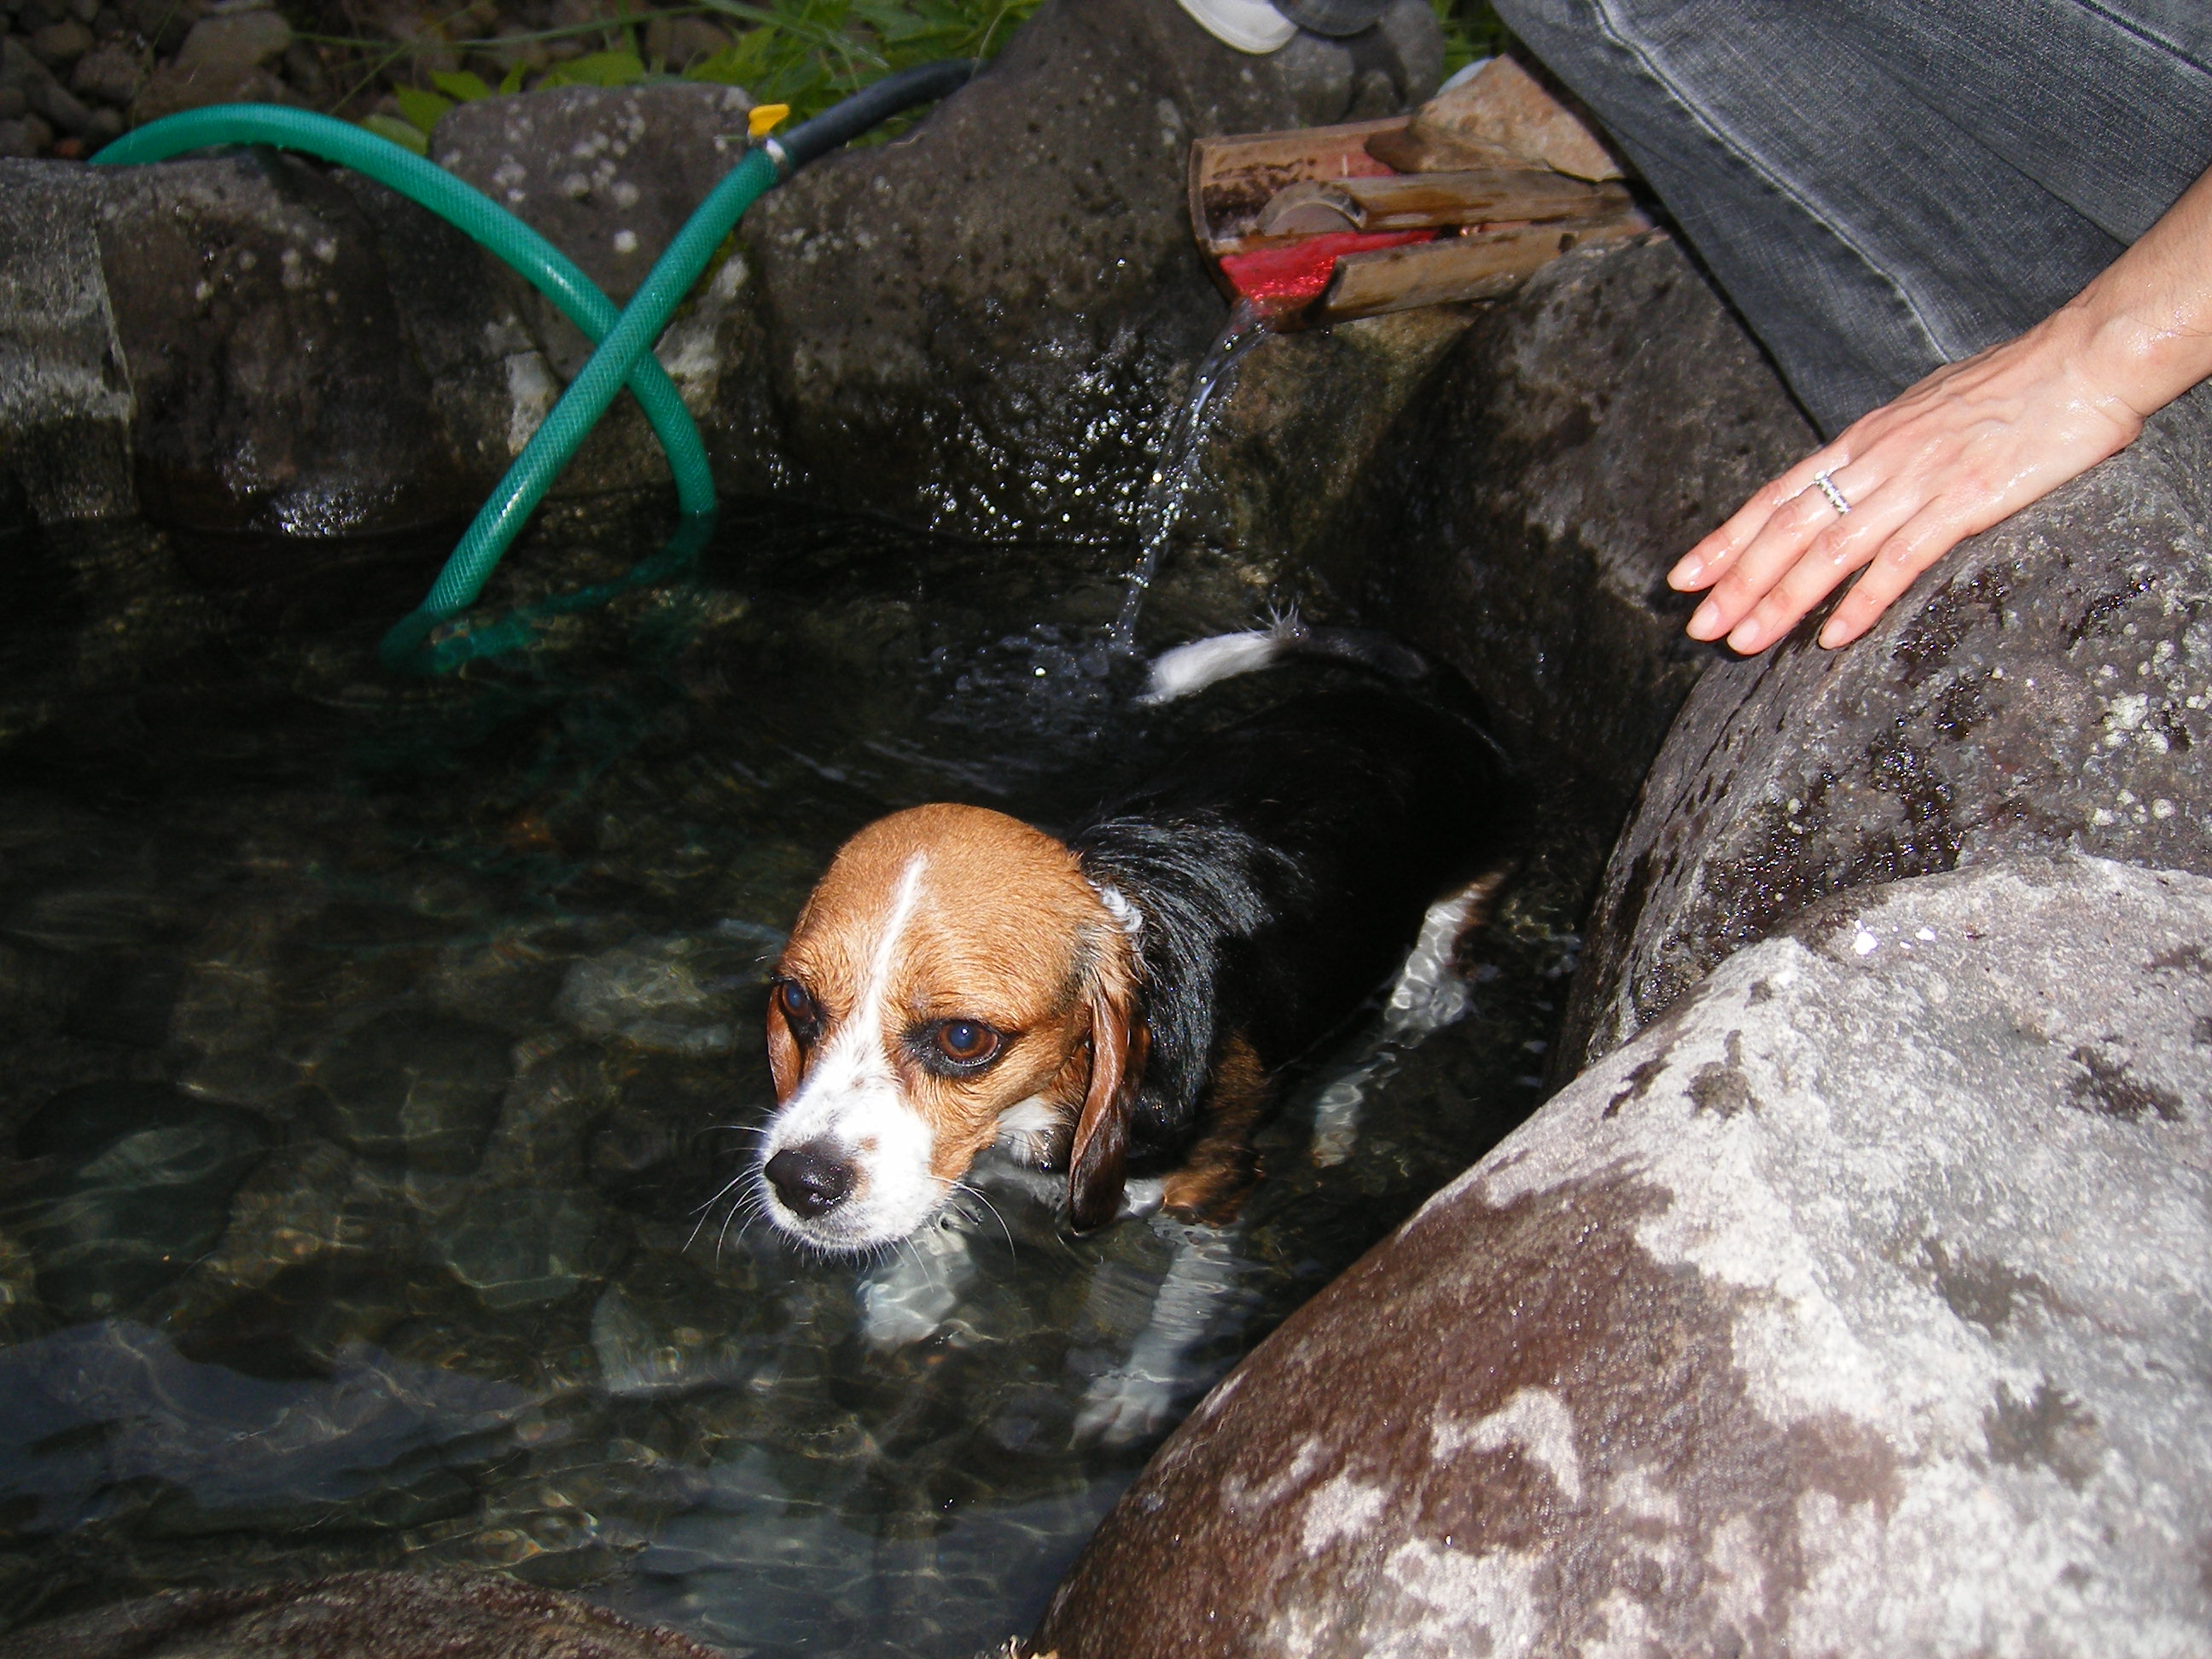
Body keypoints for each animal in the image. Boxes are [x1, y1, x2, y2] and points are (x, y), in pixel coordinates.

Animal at [756, 628, 1504, 1256]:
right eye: (796, 1002)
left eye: (964, 1039)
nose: (799, 1182)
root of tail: (1430, 709)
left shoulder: (1212, 1192)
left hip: (1439, 940)